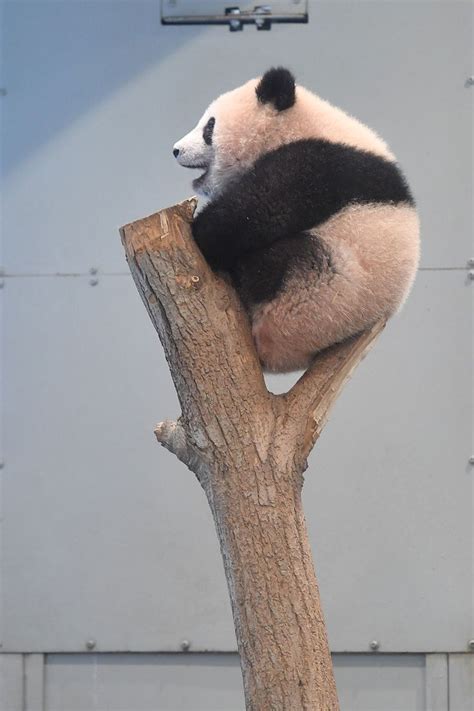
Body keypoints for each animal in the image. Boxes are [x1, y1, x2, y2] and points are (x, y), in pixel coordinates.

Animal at [172, 68, 420, 372]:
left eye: (209, 126)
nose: (176, 150)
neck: (297, 124)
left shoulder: (315, 164)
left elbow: (258, 212)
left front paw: (201, 230)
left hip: (322, 291)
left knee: (277, 262)